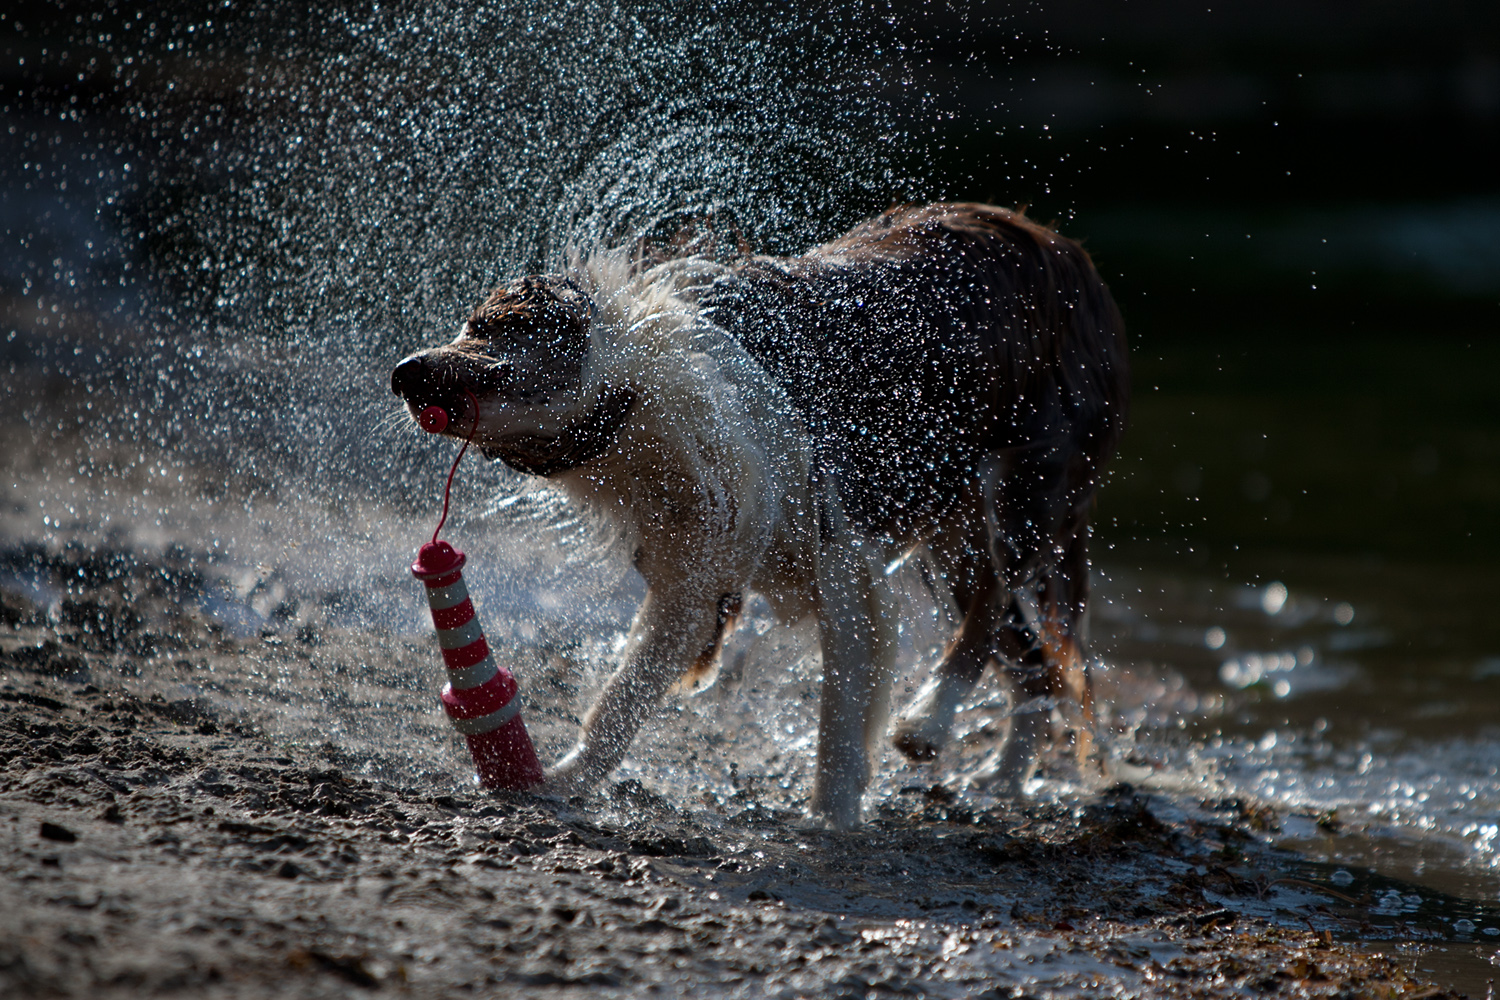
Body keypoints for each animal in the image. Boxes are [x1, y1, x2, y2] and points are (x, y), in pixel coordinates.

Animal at [393, 203, 1128, 827]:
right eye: (471, 323)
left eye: (499, 329)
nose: (405, 371)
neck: (630, 397)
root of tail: (1070, 251)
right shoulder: (692, 569)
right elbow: (622, 698)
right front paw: (562, 781)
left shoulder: (842, 554)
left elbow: (840, 720)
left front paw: (832, 818)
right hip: (955, 529)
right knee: (1030, 657)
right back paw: (1001, 778)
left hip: (1025, 484)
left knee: (997, 603)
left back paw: (928, 720)